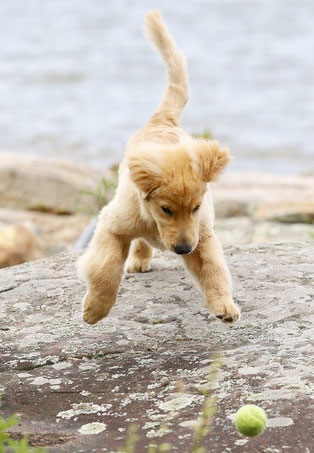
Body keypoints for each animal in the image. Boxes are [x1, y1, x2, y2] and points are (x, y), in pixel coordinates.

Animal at [78, 10, 240, 324]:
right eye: (166, 209)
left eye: (196, 207)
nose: (182, 249)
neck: (155, 224)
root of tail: (163, 119)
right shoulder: (111, 224)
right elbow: (105, 267)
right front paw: (95, 308)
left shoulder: (201, 233)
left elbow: (213, 267)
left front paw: (224, 305)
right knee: (138, 242)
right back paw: (138, 259)